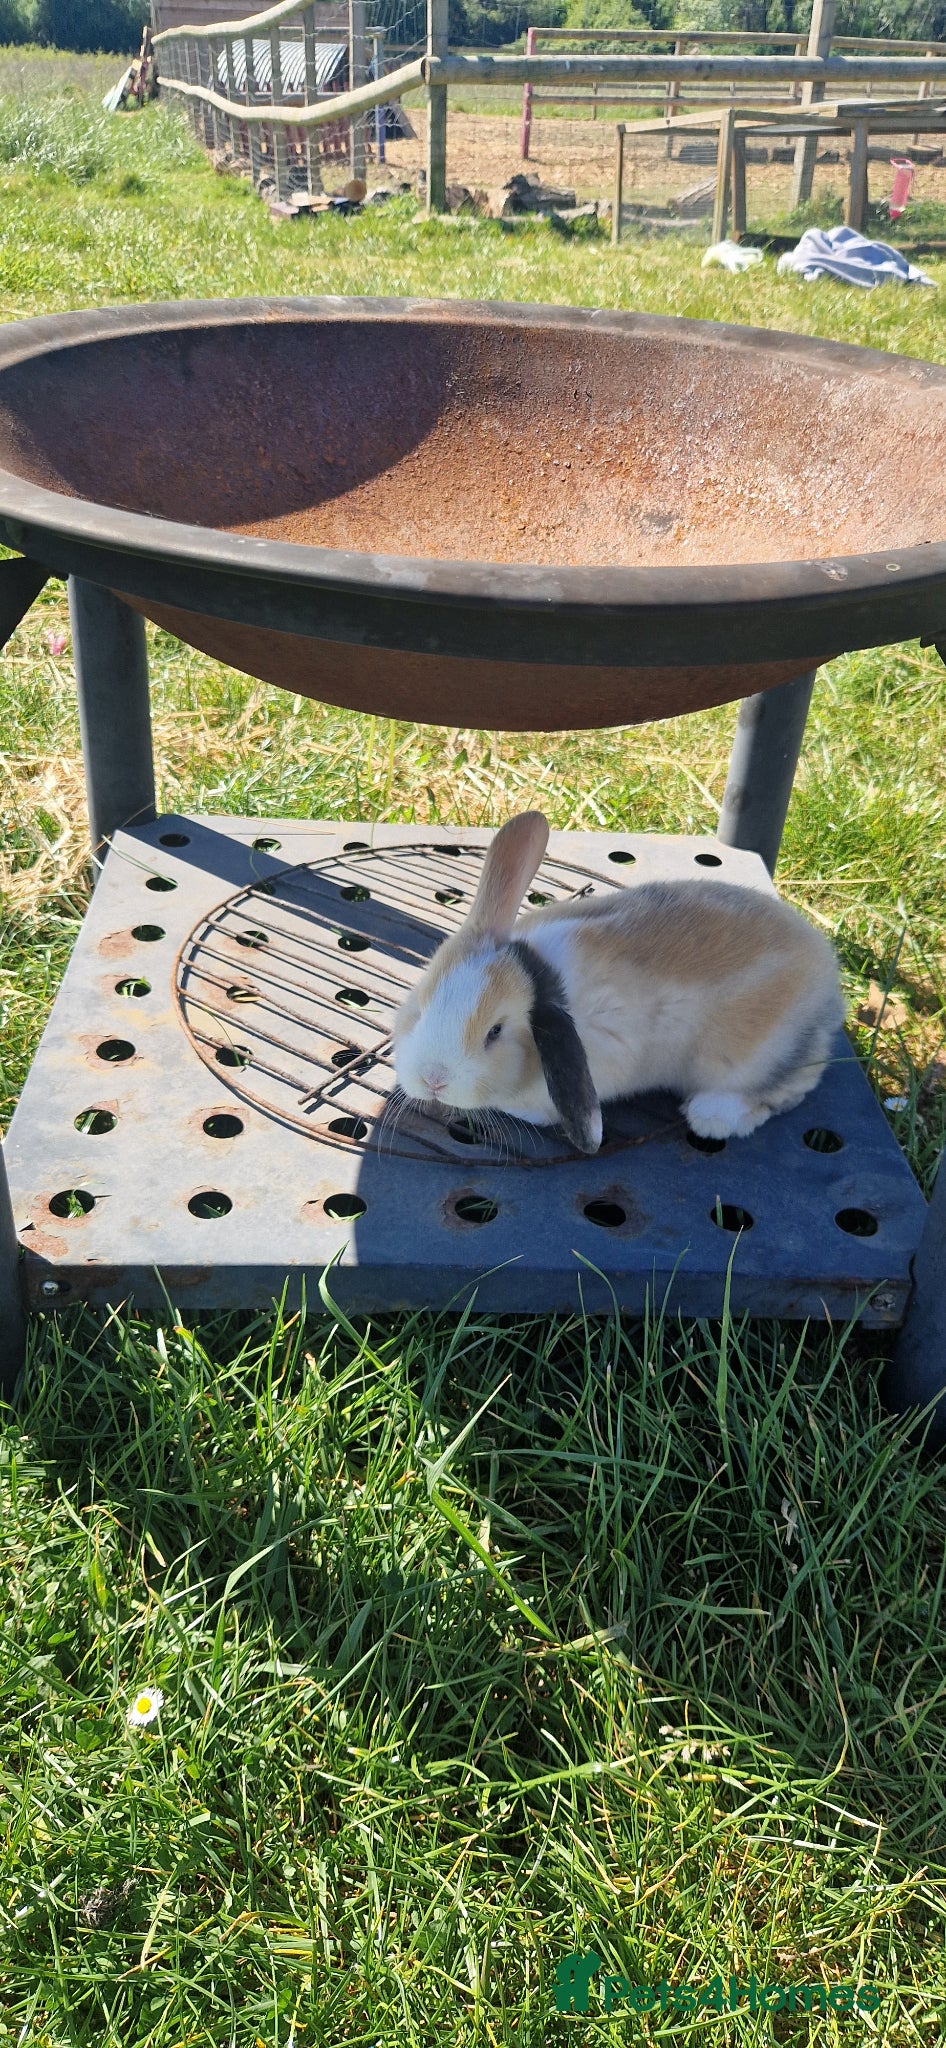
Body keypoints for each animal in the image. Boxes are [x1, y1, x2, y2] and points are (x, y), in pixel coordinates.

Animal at [392, 811, 846, 1155]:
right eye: (419, 1007)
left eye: (495, 1032)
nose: (433, 1080)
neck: (540, 975)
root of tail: (828, 981)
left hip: (751, 1057)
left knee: (784, 1091)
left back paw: (712, 1116)